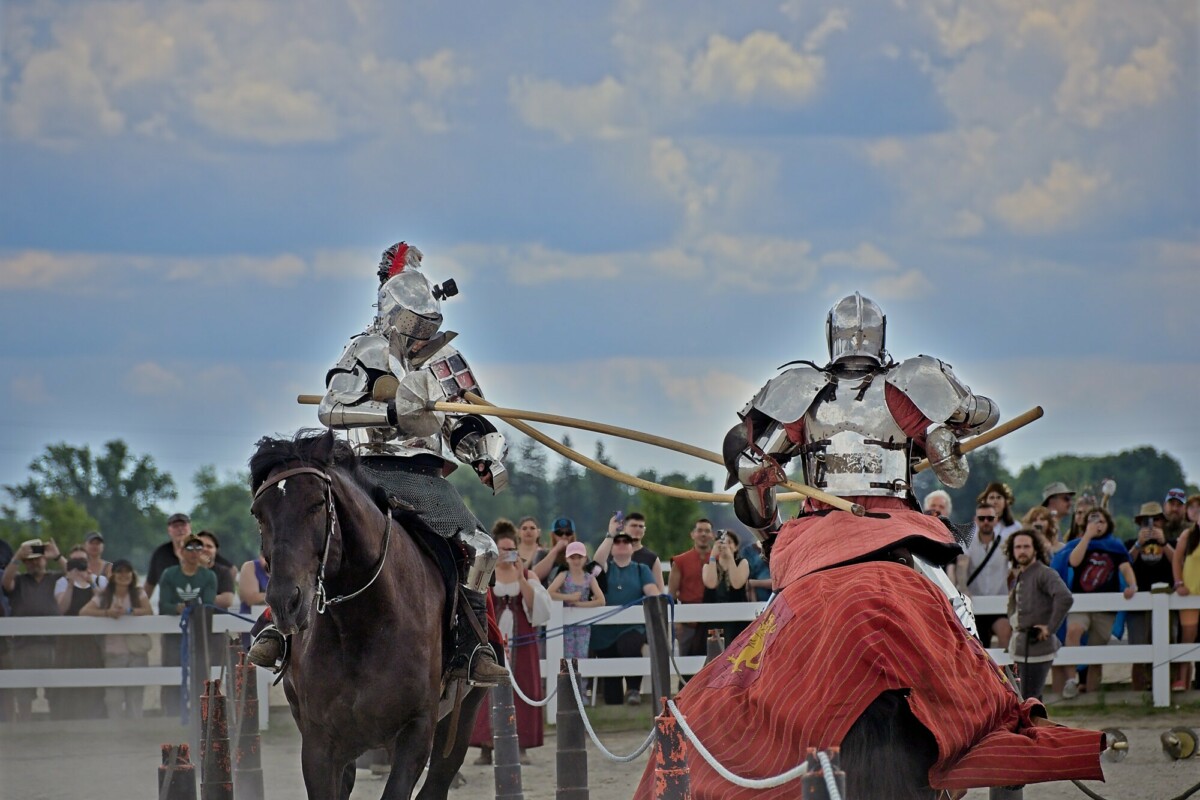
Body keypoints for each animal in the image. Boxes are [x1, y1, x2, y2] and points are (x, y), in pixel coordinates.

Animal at [249, 431, 487, 800]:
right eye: (259, 514)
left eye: (317, 503)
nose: (285, 602)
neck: (362, 625)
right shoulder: (320, 744)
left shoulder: (416, 733)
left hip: (460, 719)